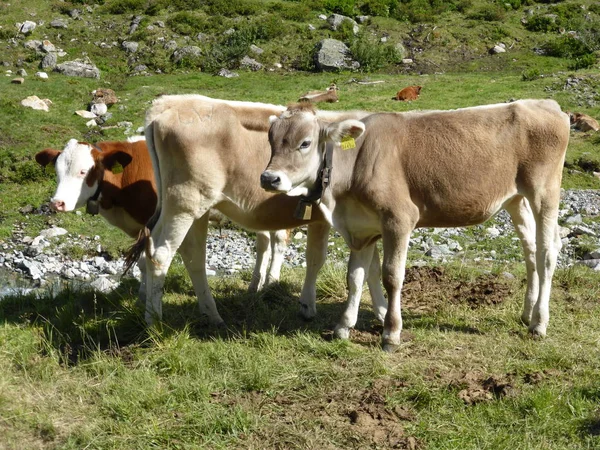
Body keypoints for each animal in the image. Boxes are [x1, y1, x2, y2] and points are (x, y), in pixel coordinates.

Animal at [35, 137, 292, 324]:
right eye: (57, 172)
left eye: (84, 171)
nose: (57, 203)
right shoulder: (140, 227)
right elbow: (142, 262)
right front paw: (142, 297)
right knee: (263, 241)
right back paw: (254, 285)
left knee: (279, 239)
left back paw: (271, 282)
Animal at [131, 96, 384, 326]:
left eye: (305, 143)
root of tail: (167, 103)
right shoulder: (324, 219)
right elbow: (317, 259)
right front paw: (308, 307)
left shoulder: (364, 225)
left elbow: (371, 268)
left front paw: (381, 312)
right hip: (183, 204)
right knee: (161, 255)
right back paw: (154, 322)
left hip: (189, 208)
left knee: (187, 254)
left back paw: (210, 314)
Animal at [264, 100, 572, 350]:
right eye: (271, 141)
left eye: (305, 143)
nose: (269, 178)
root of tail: (546, 104)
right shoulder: (360, 227)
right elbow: (355, 277)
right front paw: (343, 326)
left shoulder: (399, 218)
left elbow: (392, 276)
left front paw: (391, 334)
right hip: (515, 198)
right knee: (530, 250)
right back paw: (527, 313)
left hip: (544, 191)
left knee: (547, 252)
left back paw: (539, 323)